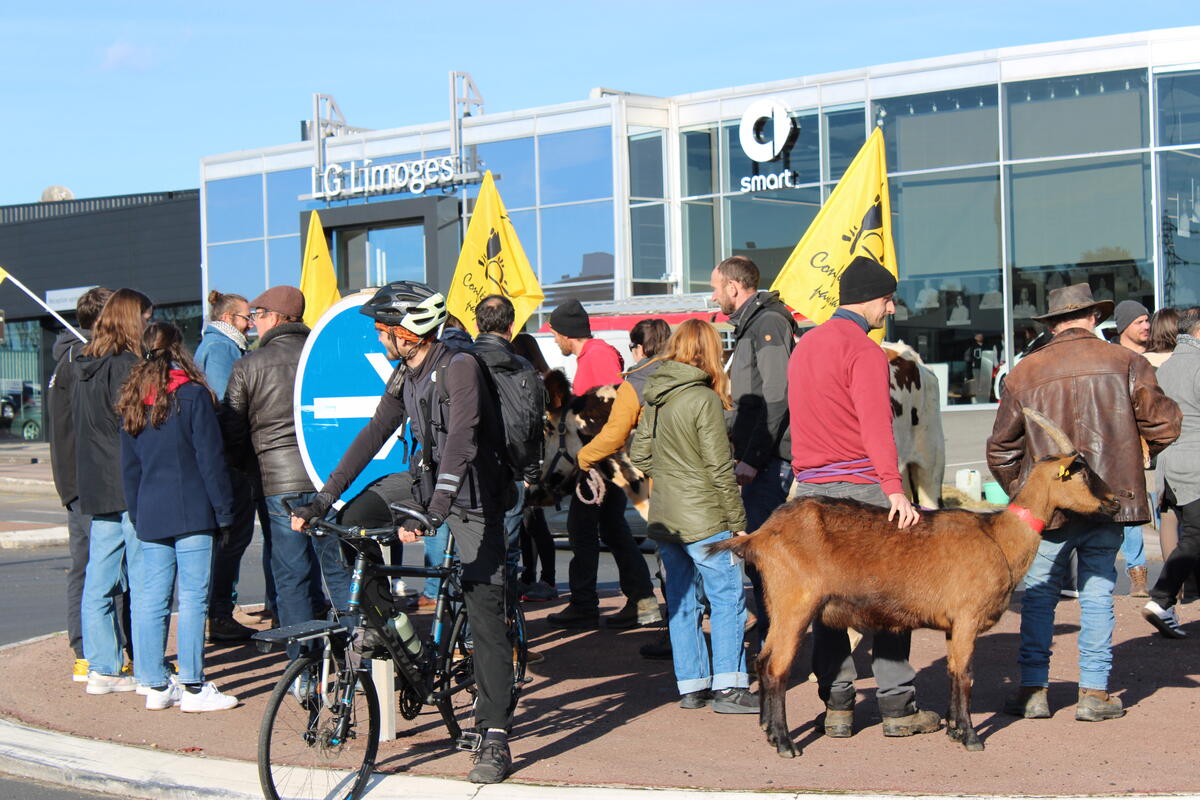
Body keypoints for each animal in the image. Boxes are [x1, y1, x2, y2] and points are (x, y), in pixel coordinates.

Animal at [705, 410, 1118, 762]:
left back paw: (768, 730)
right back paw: (786, 743)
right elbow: (965, 675)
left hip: (779, 605)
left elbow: (953, 672)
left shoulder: (954, 626)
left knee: (762, 659)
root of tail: (761, 535)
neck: (998, 538)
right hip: (796, 604)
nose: (1117, 501)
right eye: (1081, 471)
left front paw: (953, 729)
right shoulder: (967, 618)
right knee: (777, 667)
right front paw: (971, 737)